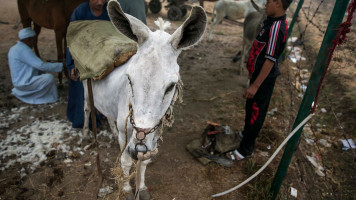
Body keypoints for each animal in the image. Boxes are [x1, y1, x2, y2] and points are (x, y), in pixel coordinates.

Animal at [82, 0, 207, 199]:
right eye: (130, 79)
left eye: (171, 86)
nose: (138, 148)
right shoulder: (126, 133)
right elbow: (126, 161)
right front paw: (126, 189)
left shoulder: (153, 131)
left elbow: (143, 163)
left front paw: (140, 188)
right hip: (86, 92)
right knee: (87, 109)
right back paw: (86, 132)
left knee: (108, 115)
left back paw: (111, 131)